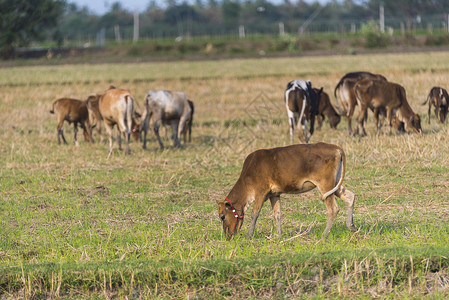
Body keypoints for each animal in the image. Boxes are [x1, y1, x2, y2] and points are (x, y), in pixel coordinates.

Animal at [215, 143, 356, 239]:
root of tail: (336, 148)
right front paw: (278, 235)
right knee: (350, 197)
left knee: (333, 209)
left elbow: (255, 213)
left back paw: (324, 235)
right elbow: (277, 214)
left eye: (222, 216)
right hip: (335, 186)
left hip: (325, 185)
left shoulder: (260, 191)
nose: (227, 236)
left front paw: (250, 235)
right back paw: (351, 226)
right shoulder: (274, 194)